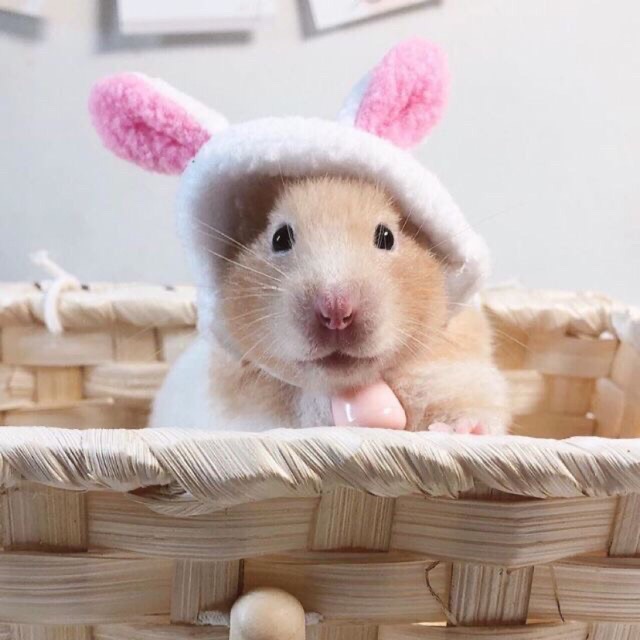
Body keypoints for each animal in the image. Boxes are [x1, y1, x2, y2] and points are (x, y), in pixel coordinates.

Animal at [150, 176, 510, 434]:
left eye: (386, 236)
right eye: (280, 238)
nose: (336, 312)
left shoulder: (457, 373)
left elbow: (470, 408)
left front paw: (461, 431)